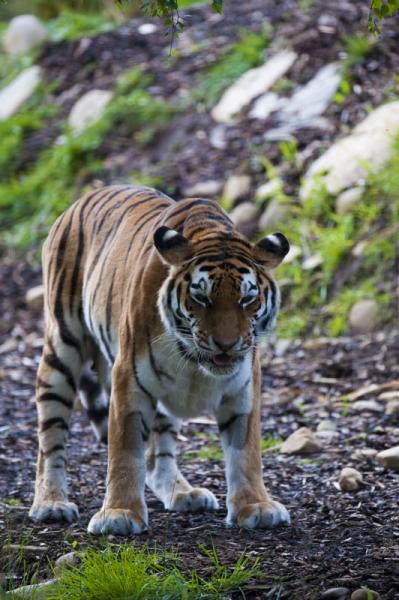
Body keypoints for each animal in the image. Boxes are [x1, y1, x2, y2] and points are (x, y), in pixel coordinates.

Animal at [28, 184, 290, 536]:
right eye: (201, 298)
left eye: (247, 299)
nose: (227, 345)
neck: (193, 359)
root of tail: (80, 201)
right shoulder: (128, 380)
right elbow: (125, 451)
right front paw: (119, 513)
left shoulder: (244, 386)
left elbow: (246, 451)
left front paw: (255, 506)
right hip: (61, 350)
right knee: (50, 439)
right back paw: (51, 503)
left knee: (158, 454)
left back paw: (183, 492)